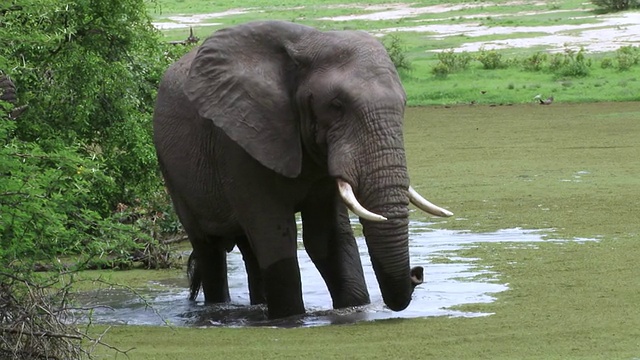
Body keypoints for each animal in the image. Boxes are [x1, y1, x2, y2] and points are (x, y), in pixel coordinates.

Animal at [151, 20, 452, 318]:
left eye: (404, 104)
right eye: (336, 105)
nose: (417, 273)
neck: (309, 43)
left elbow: (326, 238)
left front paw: (353, 310)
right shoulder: (240, 140)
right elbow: (276, 239)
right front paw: (290, 318)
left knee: (249, 249)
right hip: (173, 173)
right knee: (210, 249)